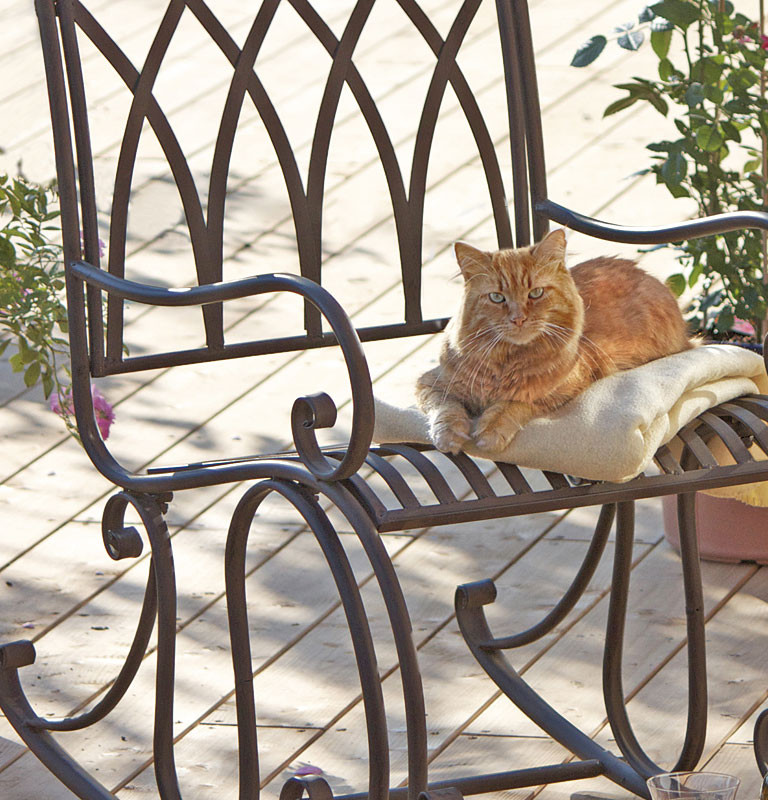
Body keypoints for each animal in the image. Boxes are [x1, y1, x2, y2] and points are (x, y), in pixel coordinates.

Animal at [416, 228, 692, 454]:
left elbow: (512, 404)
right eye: (497, 297)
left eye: (536, 293)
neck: (507, 361)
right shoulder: (433, 382)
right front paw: (448, 436)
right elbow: (446, 409)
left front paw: (491, 430)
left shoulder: (563, 389)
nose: (518, 319)